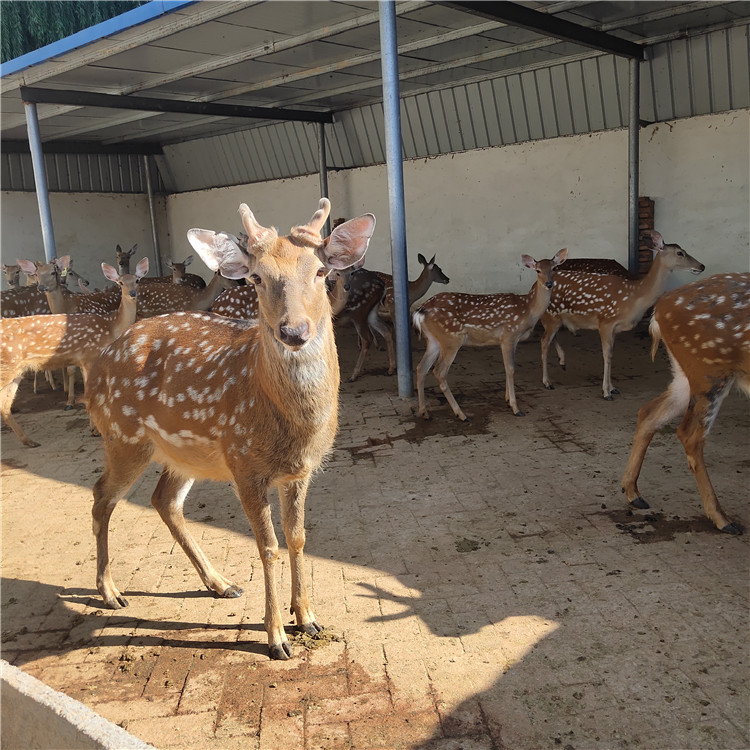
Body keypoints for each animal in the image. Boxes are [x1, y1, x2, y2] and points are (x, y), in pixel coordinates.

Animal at [0, 260, 149, 446]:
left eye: (137, 280)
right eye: (120, 282)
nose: (133, 293)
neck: (111, 327)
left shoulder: (86, 361)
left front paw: (93, 428)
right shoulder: (90, 357)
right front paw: (96, 430)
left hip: (15, 371)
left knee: (5, 405)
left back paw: (29, 441)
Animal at [414, 248, 568, 420]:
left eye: (554, 268)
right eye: (538, 270)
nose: (549, 284)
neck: (528, 309)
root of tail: (420, 311)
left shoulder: (509, 340)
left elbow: (507, 367)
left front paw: (507, 399)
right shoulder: (509, 334)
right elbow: (511, 369)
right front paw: (515, 408)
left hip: (433, 340)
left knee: (421, 368)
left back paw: (424, 412)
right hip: (451, 339)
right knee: (439, 372)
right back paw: (461, 414)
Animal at [540, 234, 704, 402]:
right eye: (680, 253)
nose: (701, 266)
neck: (634, 296)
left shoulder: (615, 328)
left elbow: (612, 354)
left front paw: (613, 388)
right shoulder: (605, 321)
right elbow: (606, 355)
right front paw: (606, 392)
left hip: (556, 318)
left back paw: (562, 362)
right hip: (551, 315)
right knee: (544, 342)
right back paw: (547, 382)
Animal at [624, 274, 750, 536]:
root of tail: (659, 311)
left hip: (686, 374)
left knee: (649, 412)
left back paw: (633, 493)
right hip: (709, 369)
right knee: (690, 434)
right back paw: (722, 519)